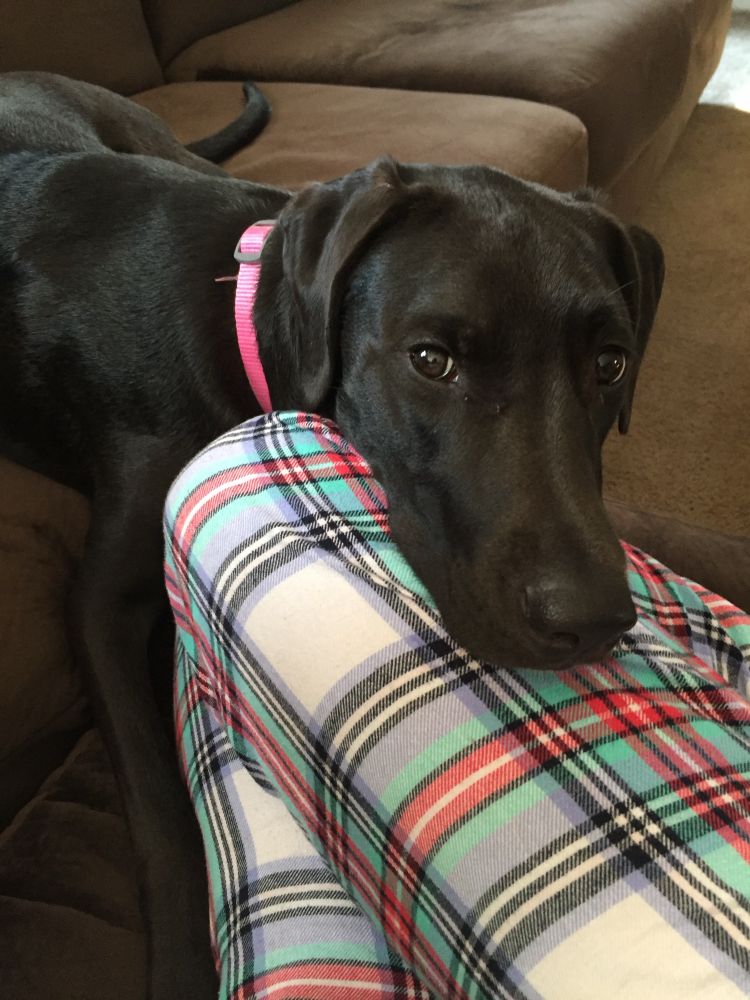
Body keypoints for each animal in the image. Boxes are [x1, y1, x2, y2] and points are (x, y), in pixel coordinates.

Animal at [0, 72, 663, 999]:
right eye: (431, 360)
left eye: (610, 364)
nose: (596, 620)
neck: (240, 313)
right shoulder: (100, 603)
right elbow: (157, 805)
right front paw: (180, 958)